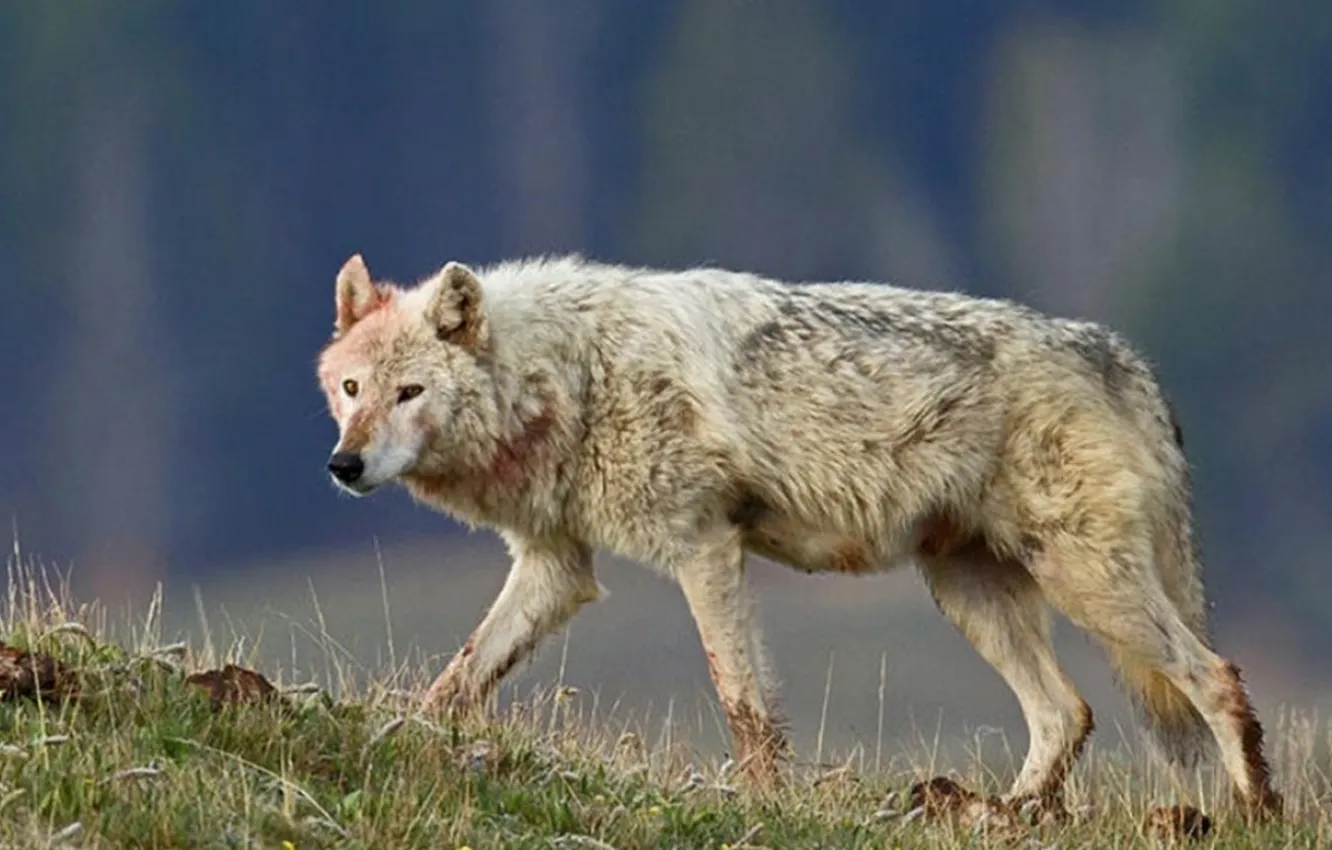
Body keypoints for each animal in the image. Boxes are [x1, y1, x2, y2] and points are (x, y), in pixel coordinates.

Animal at [315, 252, 1282, 819]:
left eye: (410, 394)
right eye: (353, 389)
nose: (343, 465)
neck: (570, 375)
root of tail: (1118, 353)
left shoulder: (703, 548)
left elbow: (743, 702)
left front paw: (760, 800)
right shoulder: (556, 567)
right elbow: (458, 679)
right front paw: (396, 736)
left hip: (1087, 584)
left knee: (1217, 678)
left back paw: (1255, 815)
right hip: (971, 593)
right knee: (1067, 713)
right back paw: (1008, 820)